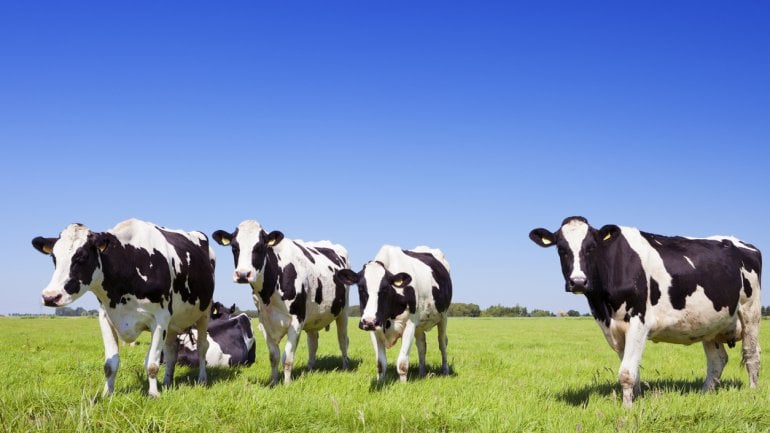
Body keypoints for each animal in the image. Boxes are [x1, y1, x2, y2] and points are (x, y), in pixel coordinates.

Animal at [31, 218, 214, 396]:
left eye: (82, 257)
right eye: (54, 258)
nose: (50, 296)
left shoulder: (160, 319)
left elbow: (152, 364)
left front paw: (154, 394)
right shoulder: (106, 317)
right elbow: (110, 364)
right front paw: (107, 394)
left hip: (204, 312)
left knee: (202, 347)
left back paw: (202, 379)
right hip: (173, 323)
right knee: (170, 351)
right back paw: (167, 381)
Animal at [213, 221, 352, 384]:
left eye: (260, 247)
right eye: (234, 247)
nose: (242, 274)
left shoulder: (296, 321)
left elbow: (287, 357)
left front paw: (286, 384)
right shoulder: (264, 323)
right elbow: (273, 357)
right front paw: (273, 382)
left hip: (343, 311)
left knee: (343, 339)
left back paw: (345, 366)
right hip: (313, 316)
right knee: (313, 343)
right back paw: (309, 368)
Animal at [334, 245, 450, 380]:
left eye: (385, 289)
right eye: (361, 288)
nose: (368, 321)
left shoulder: (410, 324)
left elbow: (402, 363)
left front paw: (403, 383)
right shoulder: (374, 328)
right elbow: (380, 364)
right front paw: (380, 381)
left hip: (444, 316)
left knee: (442, 342)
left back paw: (445, 371)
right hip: (419, 325)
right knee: (421, 345)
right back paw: (422, 373)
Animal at [524, 216, 760, 404]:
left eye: (591, 247)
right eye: (561, 249)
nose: (578, 282)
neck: (604, 305)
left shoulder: (639, 321)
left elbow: (626, 372)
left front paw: (627, 410)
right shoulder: (614, 329)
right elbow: (632, 372)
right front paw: (635, 401)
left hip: (751, 311)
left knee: (751, 353)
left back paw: (752, 392)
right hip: (710, 323)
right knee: (717, 360)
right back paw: (704, 394)